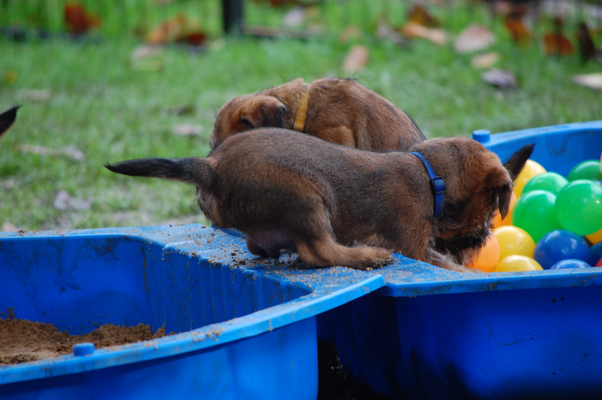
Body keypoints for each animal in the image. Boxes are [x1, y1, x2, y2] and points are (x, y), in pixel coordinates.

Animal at [105, 128, 528, 272]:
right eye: (491, 209)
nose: (484, 238)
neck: (429, 176)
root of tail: (212, 166)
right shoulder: (416, 247)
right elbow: (452, 267)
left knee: (262, 246)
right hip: (306, 196)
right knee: (320, 251)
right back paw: (368, 256)